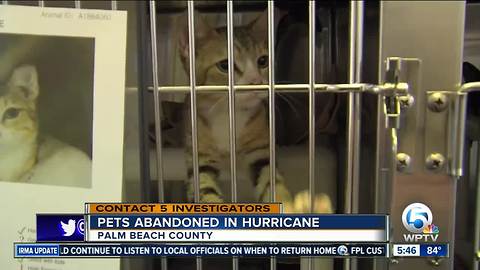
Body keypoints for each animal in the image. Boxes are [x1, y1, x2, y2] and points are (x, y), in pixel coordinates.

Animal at [177, 9, 334, 213]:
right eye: (225, 66)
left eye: (263, 61)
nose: (256, 81)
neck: (228, 115)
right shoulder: (200, 158)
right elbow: (205, 189)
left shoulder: (260, 153)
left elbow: (271, 183)